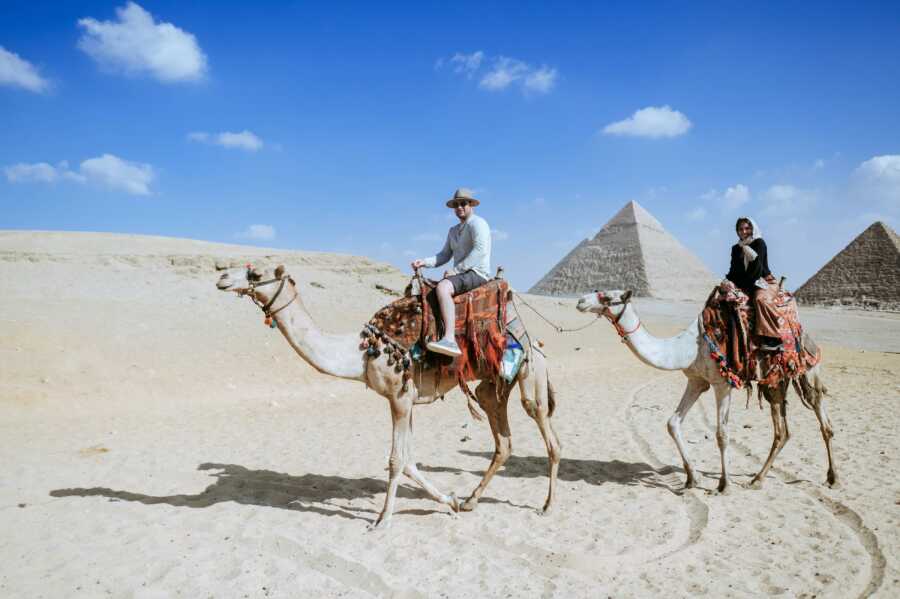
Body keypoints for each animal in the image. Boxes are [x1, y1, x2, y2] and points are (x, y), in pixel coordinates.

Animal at [214, 264, 560, 528]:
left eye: (256, 273)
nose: (222, 277)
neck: (363, 350)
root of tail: (534, 342)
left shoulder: (399, 398)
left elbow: (396, 460)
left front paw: (382, 520)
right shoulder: (406, 401)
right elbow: (409, 461)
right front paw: (450, 500)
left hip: (530, 375)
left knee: (549, 437)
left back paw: (546, 506)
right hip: (491, 386)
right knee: (504, 442)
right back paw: (471, 500)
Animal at [576, 290, 836, 492]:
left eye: (608, 297)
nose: (580, 301)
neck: (688, 347)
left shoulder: (722, 384)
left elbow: (721, 434)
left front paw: (724, 485)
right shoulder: (696, 381)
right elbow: (672, 423)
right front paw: (692, 478)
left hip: (807, 369)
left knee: (818, 412)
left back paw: (831, 478)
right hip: (774, 381)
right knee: (783, 431)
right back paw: (758, 479)